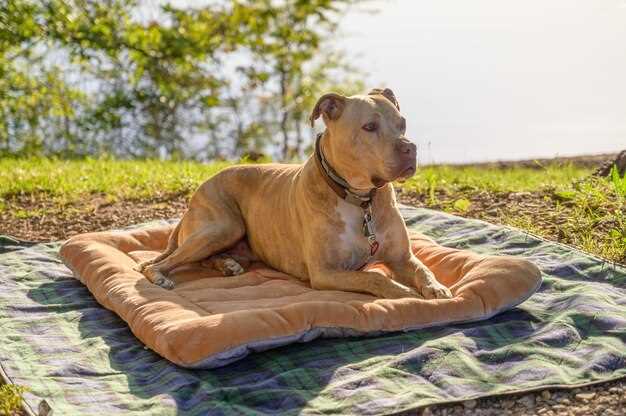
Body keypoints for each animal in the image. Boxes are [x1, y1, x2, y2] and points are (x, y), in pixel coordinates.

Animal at [136, 88, 450, 302]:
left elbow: (423, 270)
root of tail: (195, 197)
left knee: (202, 258)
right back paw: (160, 276)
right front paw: (402, 292)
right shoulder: (325, 272)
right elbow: (373, 278)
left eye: (402, 123)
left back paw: (227, 264)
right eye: (369, 127)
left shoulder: (402, 258)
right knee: (157, 264)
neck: (359, 200)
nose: (409, 148)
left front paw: (436, 287)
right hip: (224, 226)